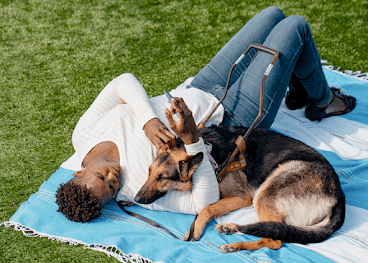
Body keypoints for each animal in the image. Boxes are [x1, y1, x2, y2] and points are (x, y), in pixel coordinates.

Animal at [134, 126, 344, 254]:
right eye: (149, 172)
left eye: (163, 178)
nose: (136, 199)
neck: (208, 154)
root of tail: (339, 195)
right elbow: (207, 208)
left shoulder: (241, 198)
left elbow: (206, 209)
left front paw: (197, 228)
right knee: (271, 229)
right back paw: (231, 228)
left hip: (265, 193)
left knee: (274, 240)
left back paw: (235, 245)